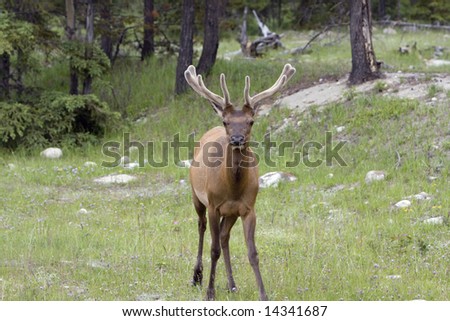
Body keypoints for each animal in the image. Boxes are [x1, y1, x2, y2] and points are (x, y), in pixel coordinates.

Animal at [183, 63, 296, 300]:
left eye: (250, 121)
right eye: (226, 121)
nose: (236, 139)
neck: (232, 188)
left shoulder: (248, 208)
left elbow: (252, 252)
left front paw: (263, 294)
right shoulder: (214, 206)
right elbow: (213, 249)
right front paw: (210, 292)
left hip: (231, 213)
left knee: (224, 236)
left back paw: (232, 284)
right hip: (196, 197)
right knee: (201, 227)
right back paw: (197, 277)